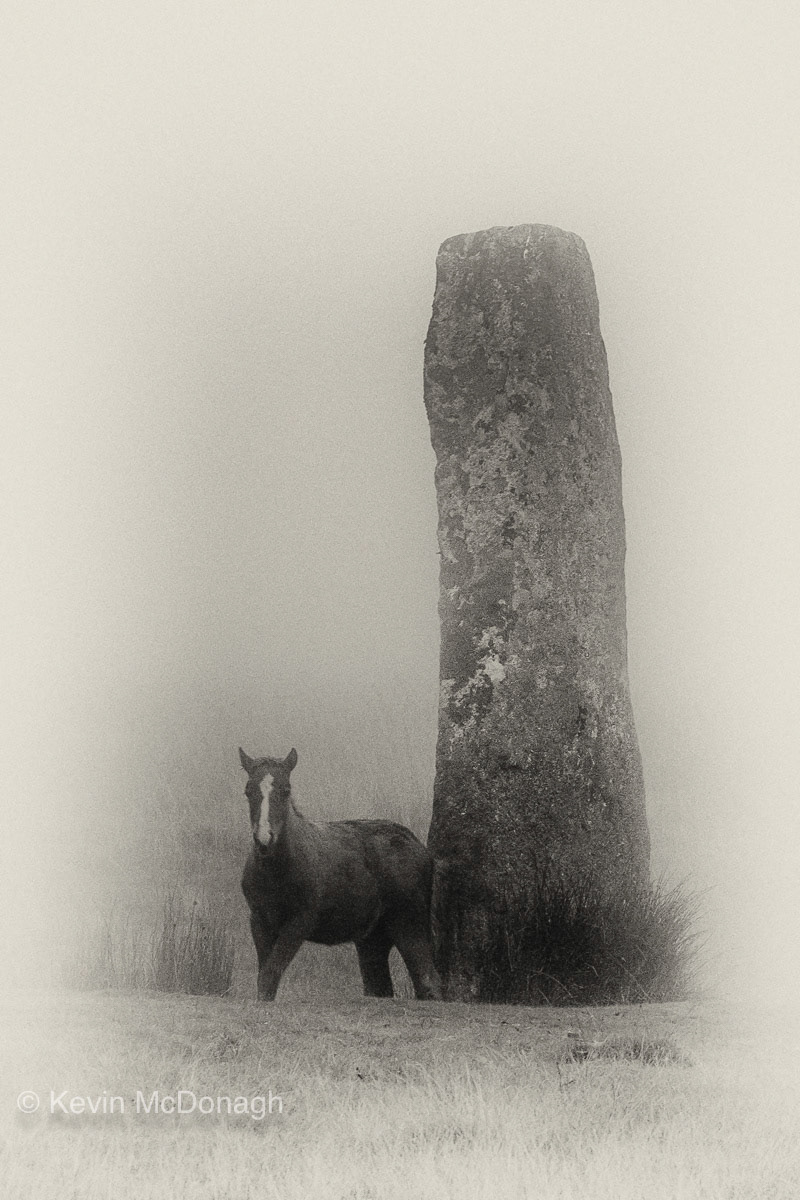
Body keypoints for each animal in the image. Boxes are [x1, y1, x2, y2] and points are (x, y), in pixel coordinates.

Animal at [238, 747, 442, 1002]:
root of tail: (422, 850)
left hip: (408, 923)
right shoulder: (259, 920)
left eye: (286, 790)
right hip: (372, 938)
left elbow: (270, 974)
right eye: (248, 791)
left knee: (428, 981)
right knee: (379, 987)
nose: (264, 839)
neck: (277, 870)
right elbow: (264, 977)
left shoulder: (300, 921)